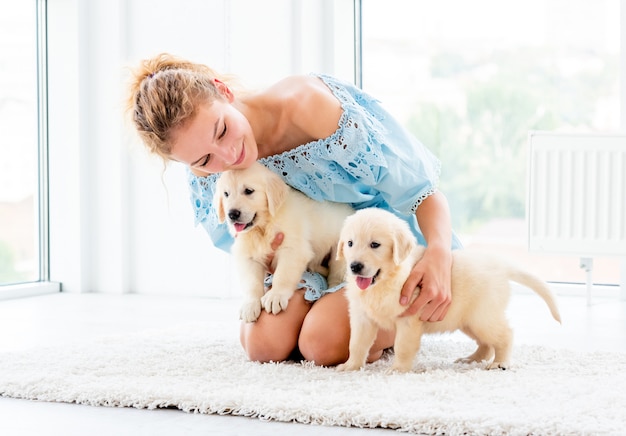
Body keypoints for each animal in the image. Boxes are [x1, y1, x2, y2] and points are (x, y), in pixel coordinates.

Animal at [213, 162, 352, 322]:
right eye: (226, 194)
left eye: (248, 191)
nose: (232, 214)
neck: (263, 227)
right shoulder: (248, 256)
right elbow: (251, 283)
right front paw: (250, 305)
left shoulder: (293, 250)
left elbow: (282, 276)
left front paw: (275, 296)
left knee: (337, 273)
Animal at [336, 208, 560, 372]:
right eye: (350, 243)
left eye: (375, 244)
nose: (355, 266)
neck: (385, 281)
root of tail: (502, 266)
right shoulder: (362, 318)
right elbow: (356, 343)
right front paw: (351, 366)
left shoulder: (408, 320)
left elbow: (402, 347)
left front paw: (398, 369)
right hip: (468, 320)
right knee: (487, 344)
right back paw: (471, 359)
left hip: (483, 317)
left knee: (505, 335)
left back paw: (500, 362)